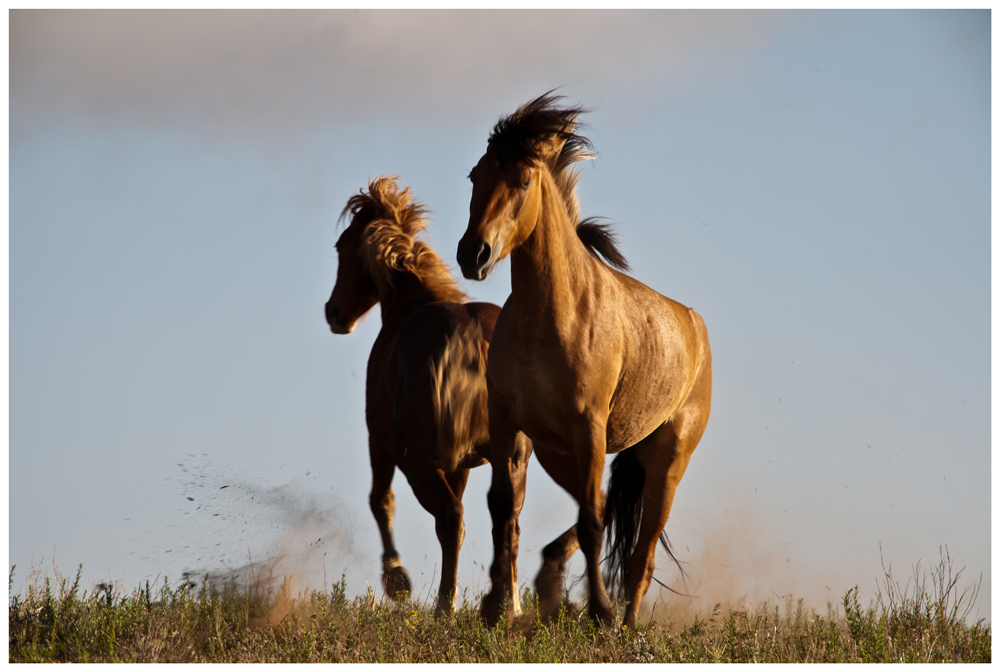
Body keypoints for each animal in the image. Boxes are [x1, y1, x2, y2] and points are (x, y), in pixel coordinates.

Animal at [326, 177, 532, 616]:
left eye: (341, 247)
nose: (333, 313)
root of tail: (475, 342)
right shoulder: (463, 464)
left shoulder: (381, 444)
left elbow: (381, 501)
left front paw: (396, 581)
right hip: (511, 459)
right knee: (507, 522)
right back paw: (509, 606)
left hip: (416, 460)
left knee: (451, 519)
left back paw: (444, 607)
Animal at [458, 94, 716, 632]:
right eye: (475, 175)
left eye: (523, 180)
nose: (474, 254)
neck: (552, 316)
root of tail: (695, 327)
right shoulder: (506, 420)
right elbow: (502, 508)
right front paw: (495, 608)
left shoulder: (590, 428)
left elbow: (595, 525)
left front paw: (599, 613)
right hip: (561, 454)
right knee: (595, 509)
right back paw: (551, 585)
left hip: (667, 461)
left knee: (639, 551)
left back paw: (625, 624)